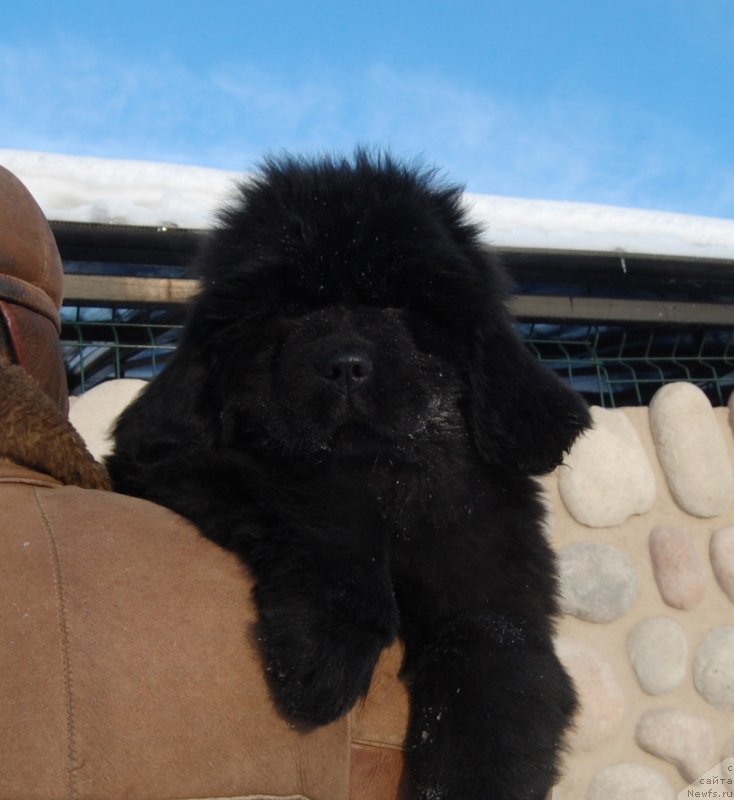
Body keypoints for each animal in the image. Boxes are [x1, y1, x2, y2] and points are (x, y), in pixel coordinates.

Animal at [109, 152, 592, 800]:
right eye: (291, 310)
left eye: (395, 305)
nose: (343, 365)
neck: (385, 480)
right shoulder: (168, 462)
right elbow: (327, 507)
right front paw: (323, 655)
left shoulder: (495, 597)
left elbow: (492, 685)